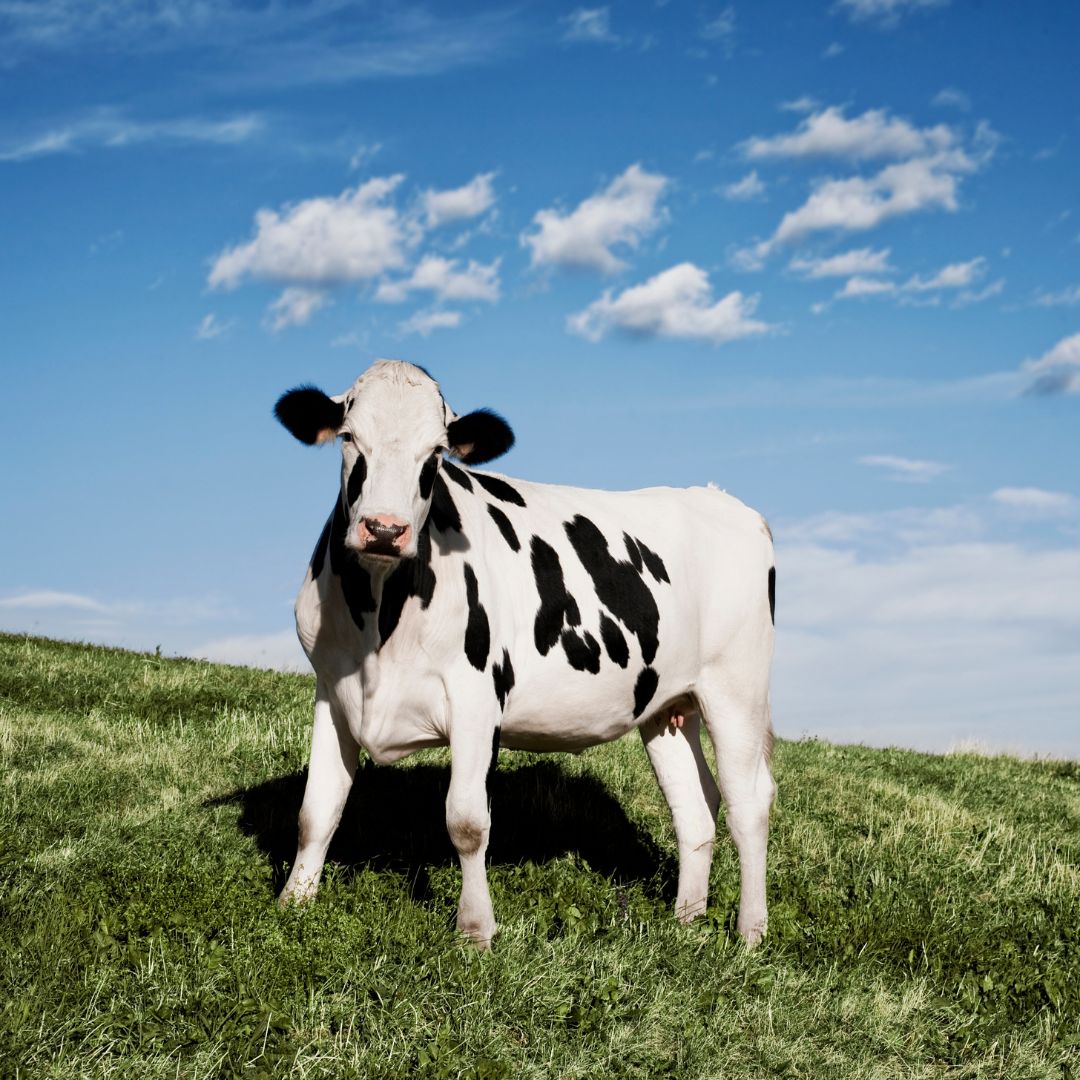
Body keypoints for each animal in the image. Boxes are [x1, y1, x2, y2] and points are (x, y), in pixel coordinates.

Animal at [270, 360, 777, 946]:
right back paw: (686, 923)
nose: (384, 529)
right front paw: (292, 904)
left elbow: (467, 822)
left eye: (436, 453)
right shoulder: (333, 692)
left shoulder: (476, 700)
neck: (379, 623)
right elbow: (316, 809)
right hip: (668, 703)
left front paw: (475, 930)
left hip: (737, 689)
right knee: (695, 806)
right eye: (350, 438)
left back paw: (749, 934)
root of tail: (720, 498)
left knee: (748, 802)